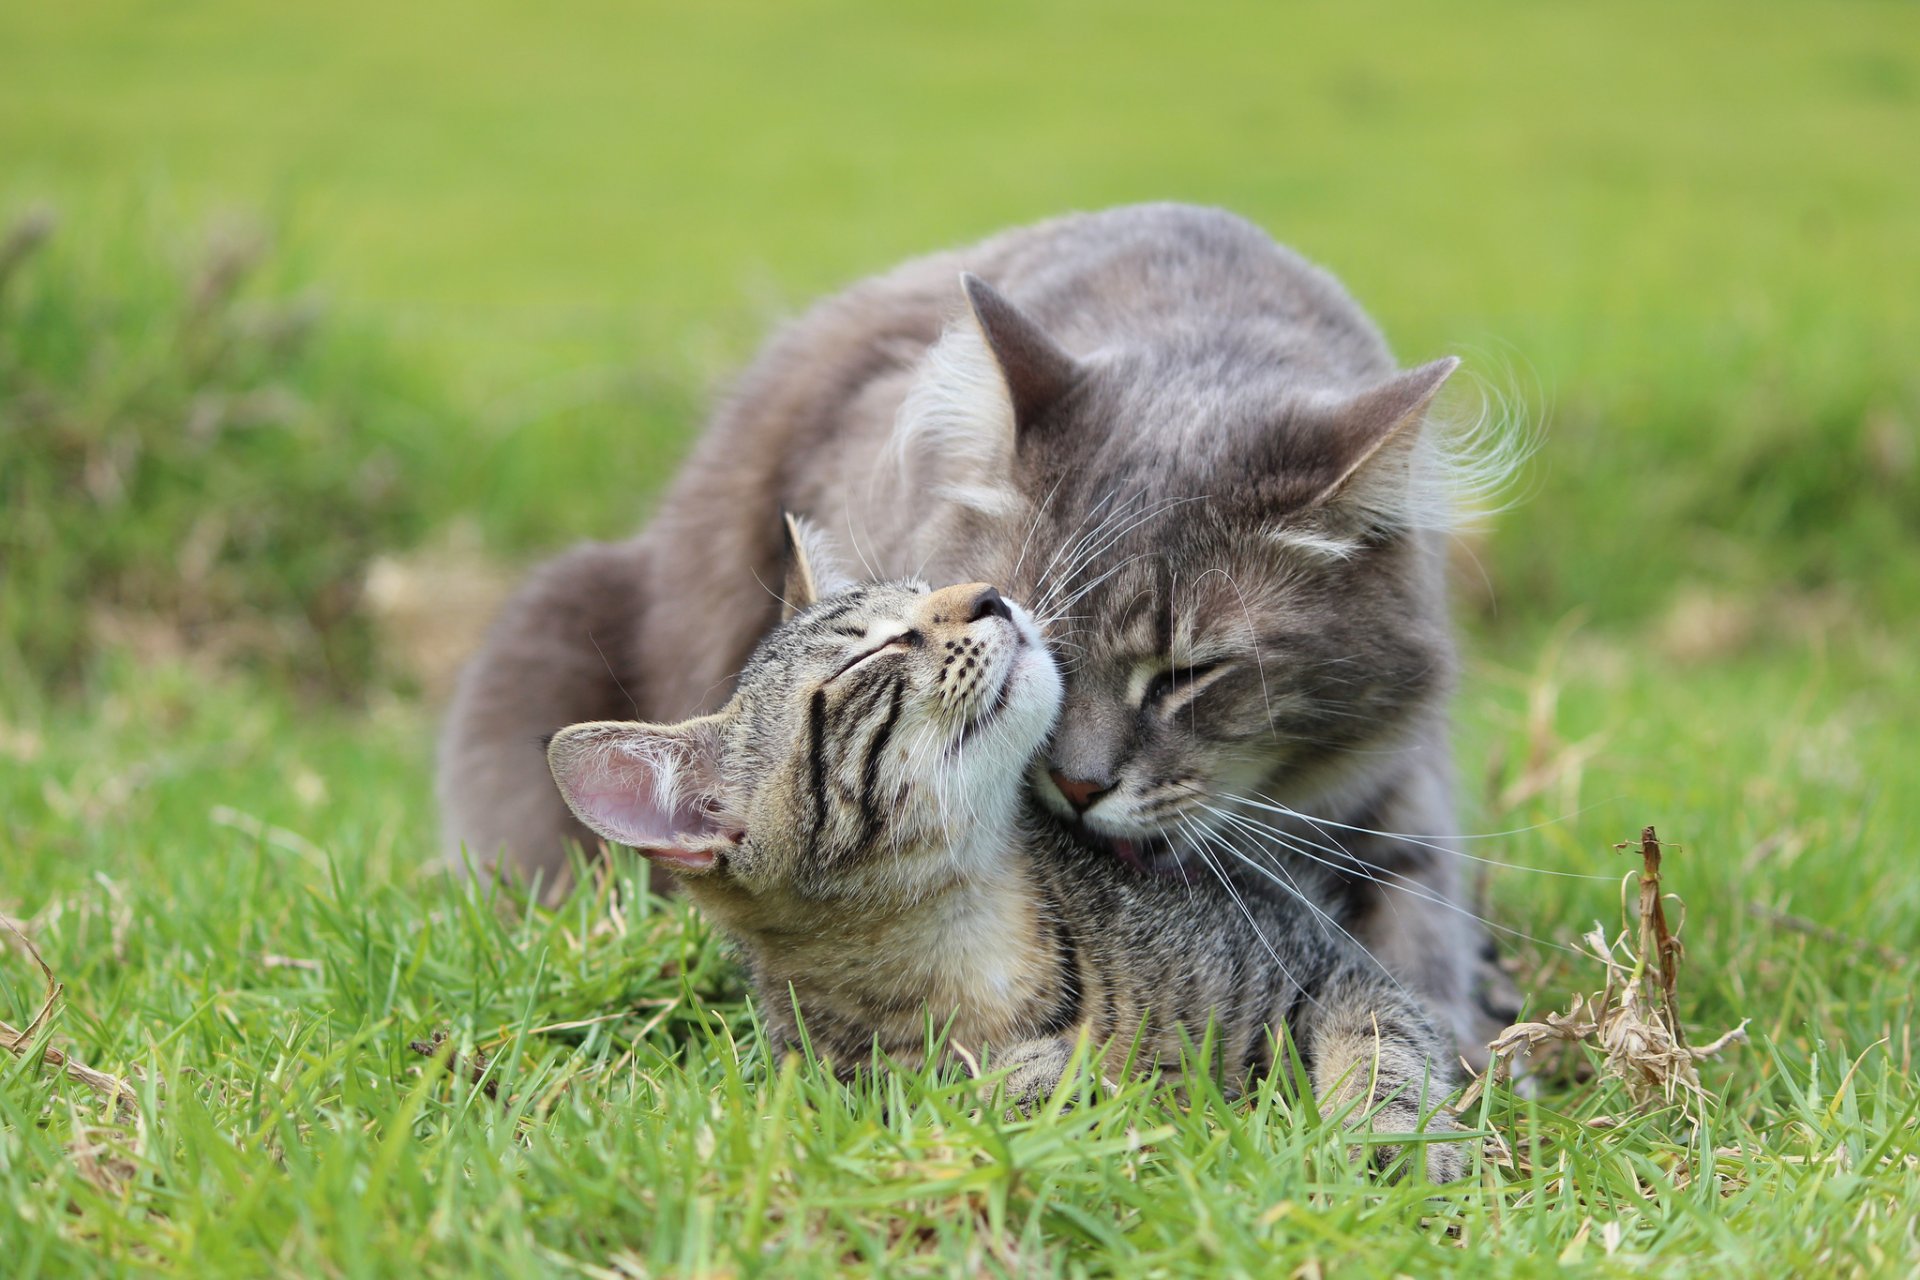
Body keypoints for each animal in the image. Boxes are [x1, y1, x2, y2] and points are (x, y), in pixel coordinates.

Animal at [549, 521, 1459, 1182]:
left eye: (925, 588)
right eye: (873, 651)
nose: (992, 595)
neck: (970, 933)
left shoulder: (1322, 961)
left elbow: (1384, 1043)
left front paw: (1394, 1139)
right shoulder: (843, 1088)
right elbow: (948, 1100)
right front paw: (1030, 1082)